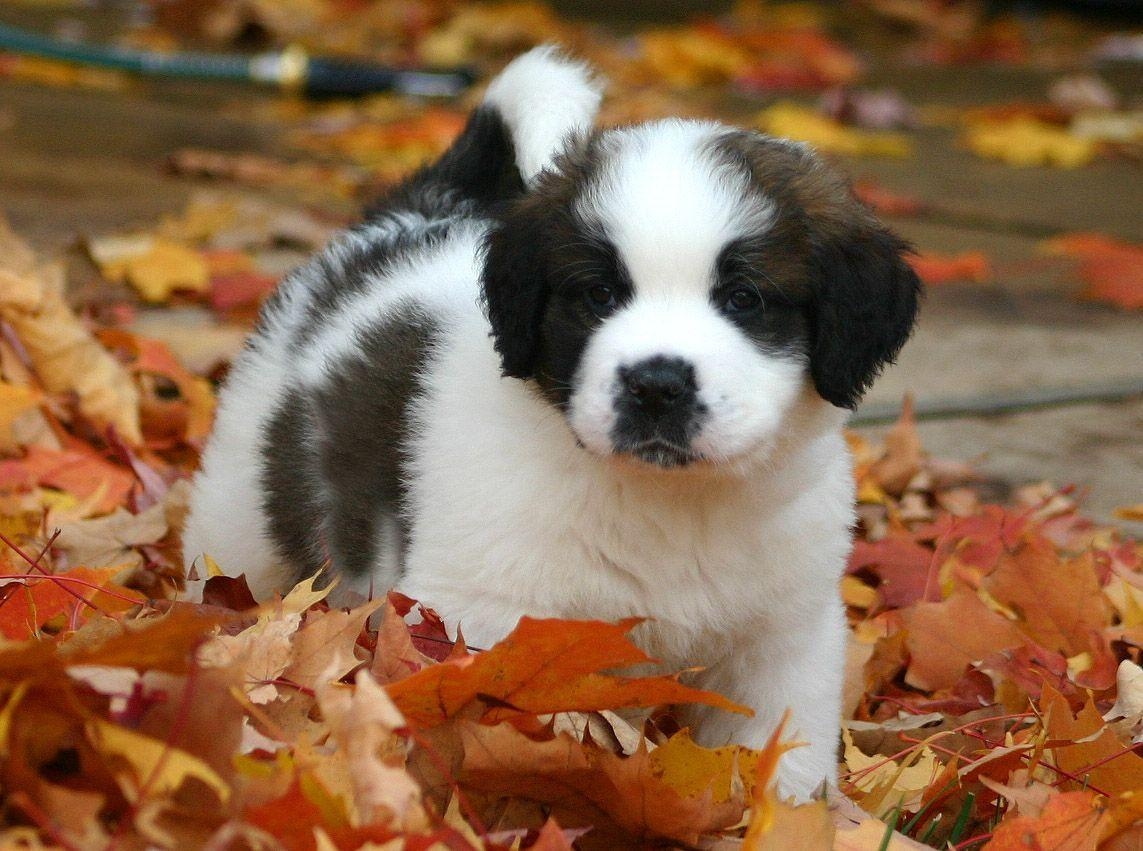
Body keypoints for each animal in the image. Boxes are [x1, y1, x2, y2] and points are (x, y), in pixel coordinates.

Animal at [185, 46, 918, 799]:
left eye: (745, 299)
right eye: (598, 293)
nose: (656, 385)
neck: (670, 502)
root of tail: (406, 218)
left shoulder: (783, 636)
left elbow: (779, 753)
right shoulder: (480, 617)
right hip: (240, 513)